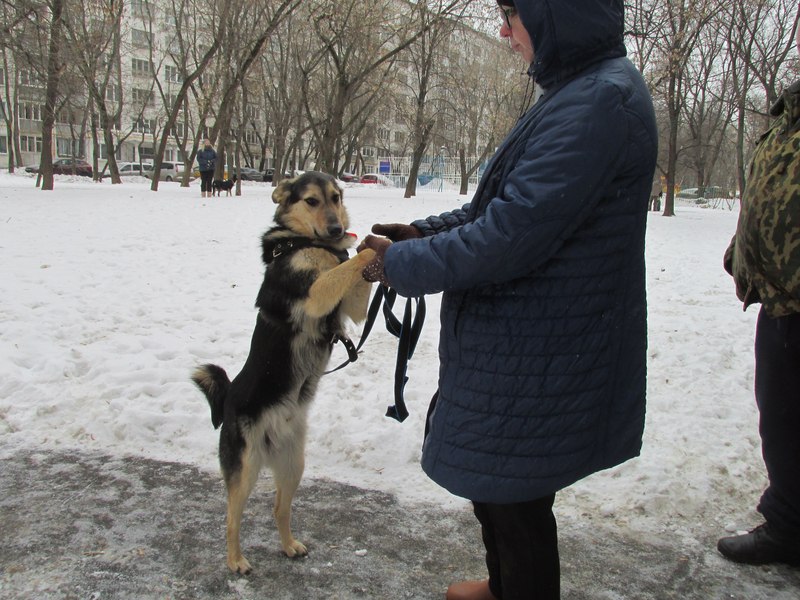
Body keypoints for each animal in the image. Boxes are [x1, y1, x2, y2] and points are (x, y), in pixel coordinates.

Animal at [191, 171, 376, 576]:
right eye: (311, 201)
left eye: (336, 197)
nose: (337, 228)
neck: (306, 241)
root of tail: (228, 398)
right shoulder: (316, 295)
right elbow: (349, 262)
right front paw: (373, 246)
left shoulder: (351, 307)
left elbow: (352, 270)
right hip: (245, 468)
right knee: (231, 518)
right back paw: (236, 561)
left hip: (294, 465)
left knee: (280, 507)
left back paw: (290, 546)